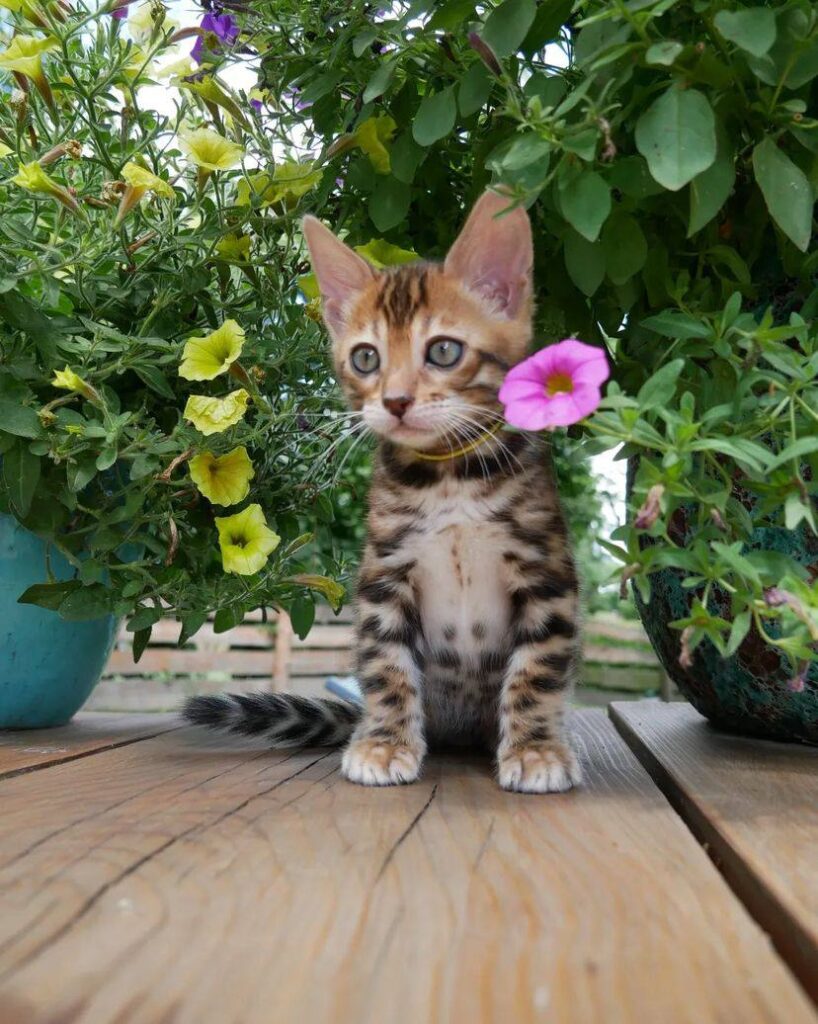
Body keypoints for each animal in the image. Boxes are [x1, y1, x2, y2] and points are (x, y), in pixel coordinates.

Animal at [185, 188, 581, 790]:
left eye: (443, 351)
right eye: (366, 357)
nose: (394, 401)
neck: (450, 477)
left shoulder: (546, 573)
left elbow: (538, 670)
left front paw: (536, 749)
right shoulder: (384, 573)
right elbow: (386, 665)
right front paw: (384, 743)